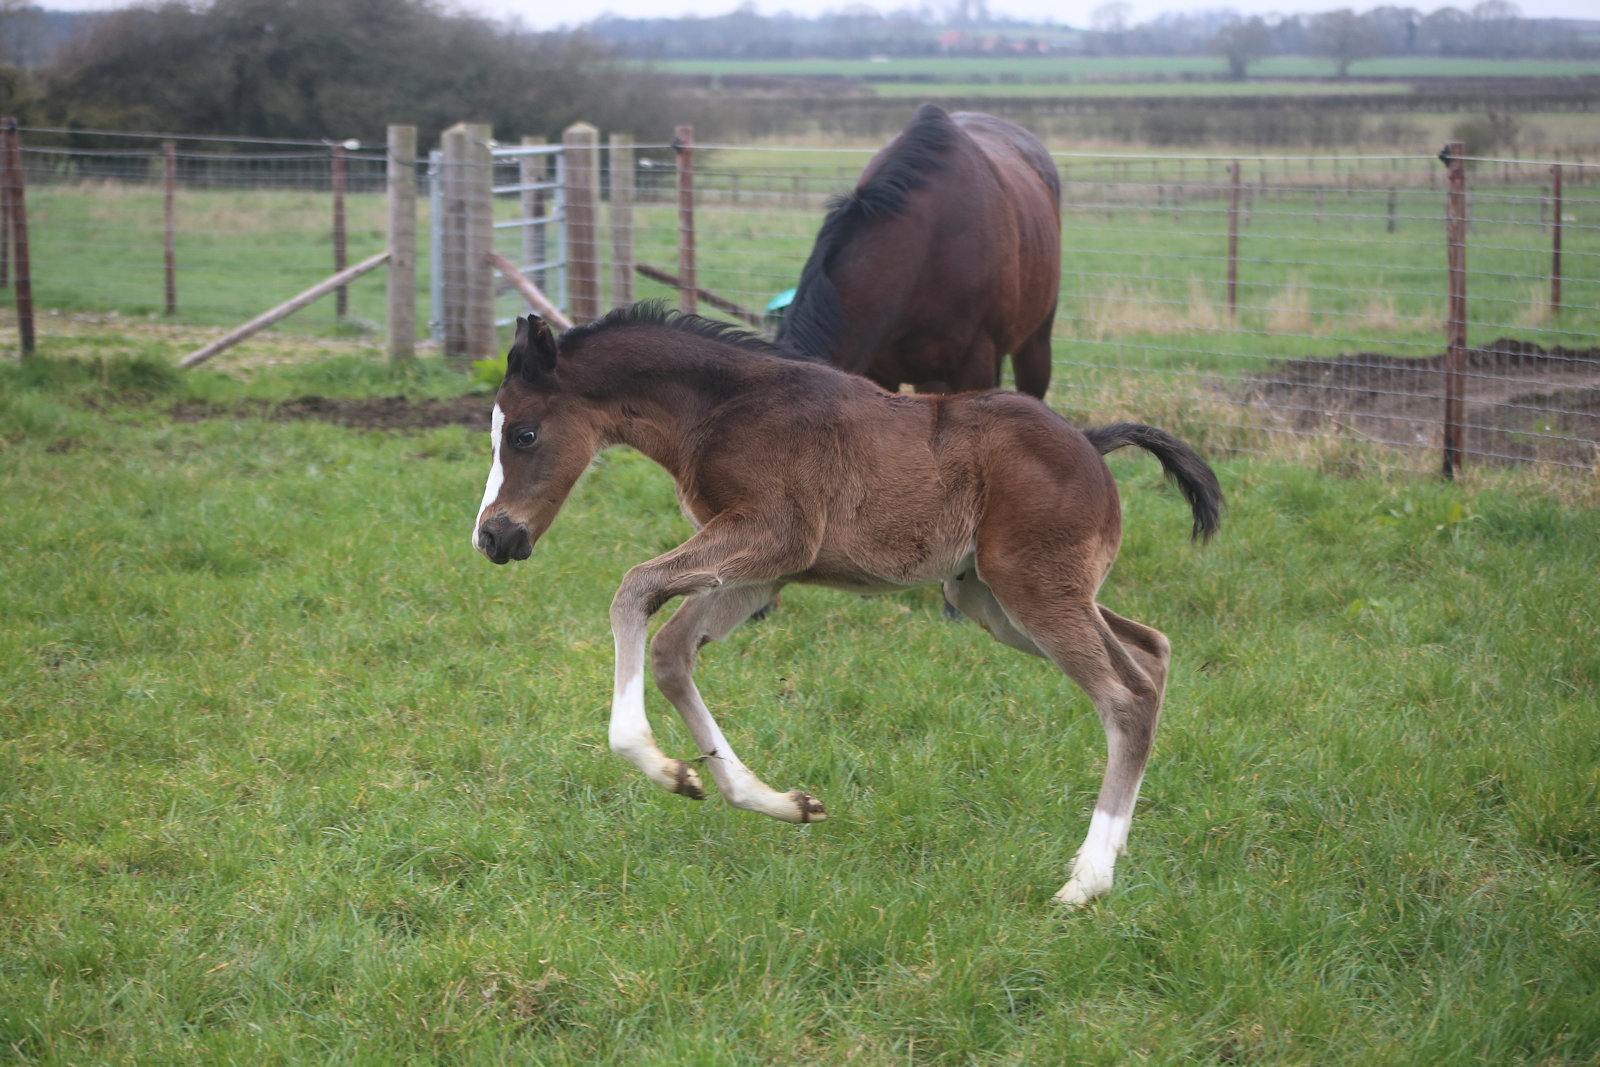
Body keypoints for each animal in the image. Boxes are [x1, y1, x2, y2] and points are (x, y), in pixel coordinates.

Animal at [472, 306, 1222, 906]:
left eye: (525, 434)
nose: (493, 536)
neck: (720, 409)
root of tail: (1092, 444)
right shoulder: (765, 572)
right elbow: (670, 650)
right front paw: (776, 801)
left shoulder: (772, 533)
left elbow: (632, 589)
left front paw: (663, 765)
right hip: (994, 598)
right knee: (1152, 652)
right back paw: (1111, 852)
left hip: (1033, 589)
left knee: (1124, 697)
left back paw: (1087, 879)